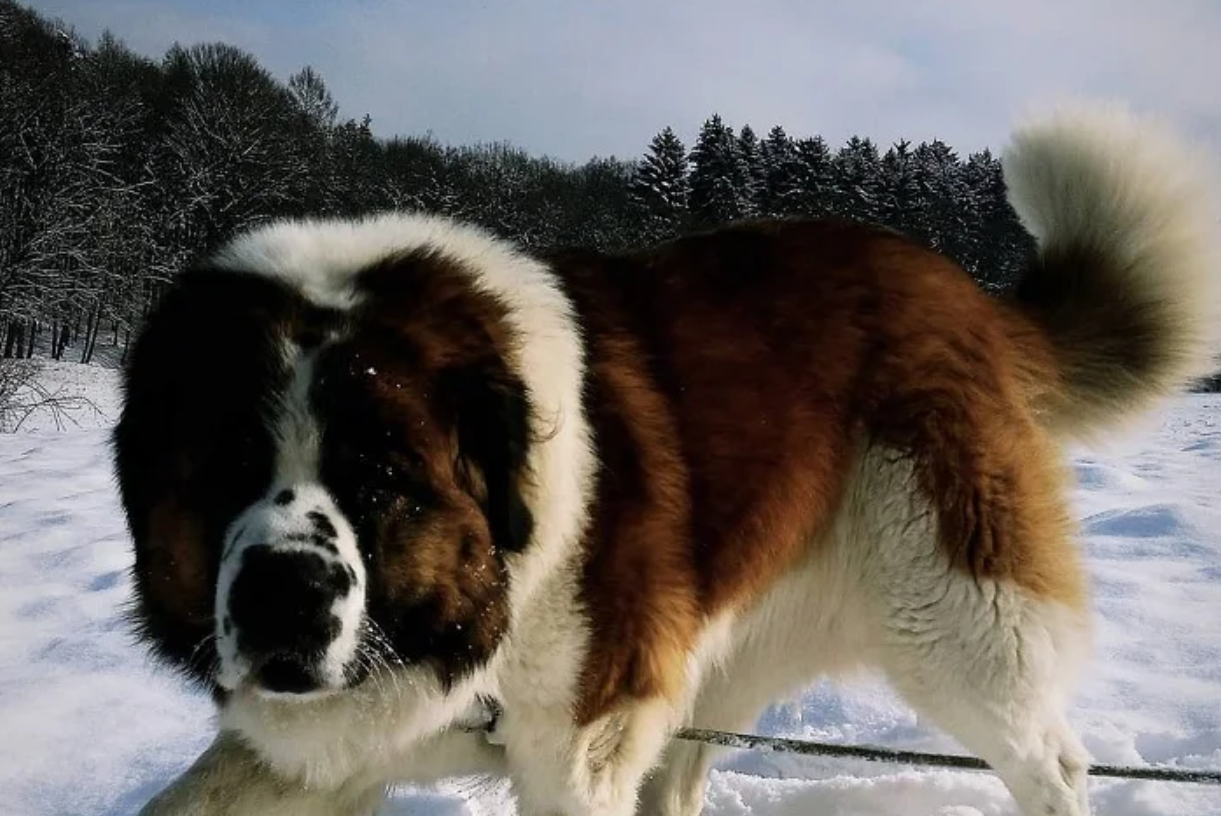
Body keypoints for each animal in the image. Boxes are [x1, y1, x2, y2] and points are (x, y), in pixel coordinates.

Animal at [116, 103, 1221, 816]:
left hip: (956, 616)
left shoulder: (578, 747)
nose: (285, 597)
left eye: (380, 480)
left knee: (1051, 763)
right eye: (221, 471)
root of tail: (967, 294)